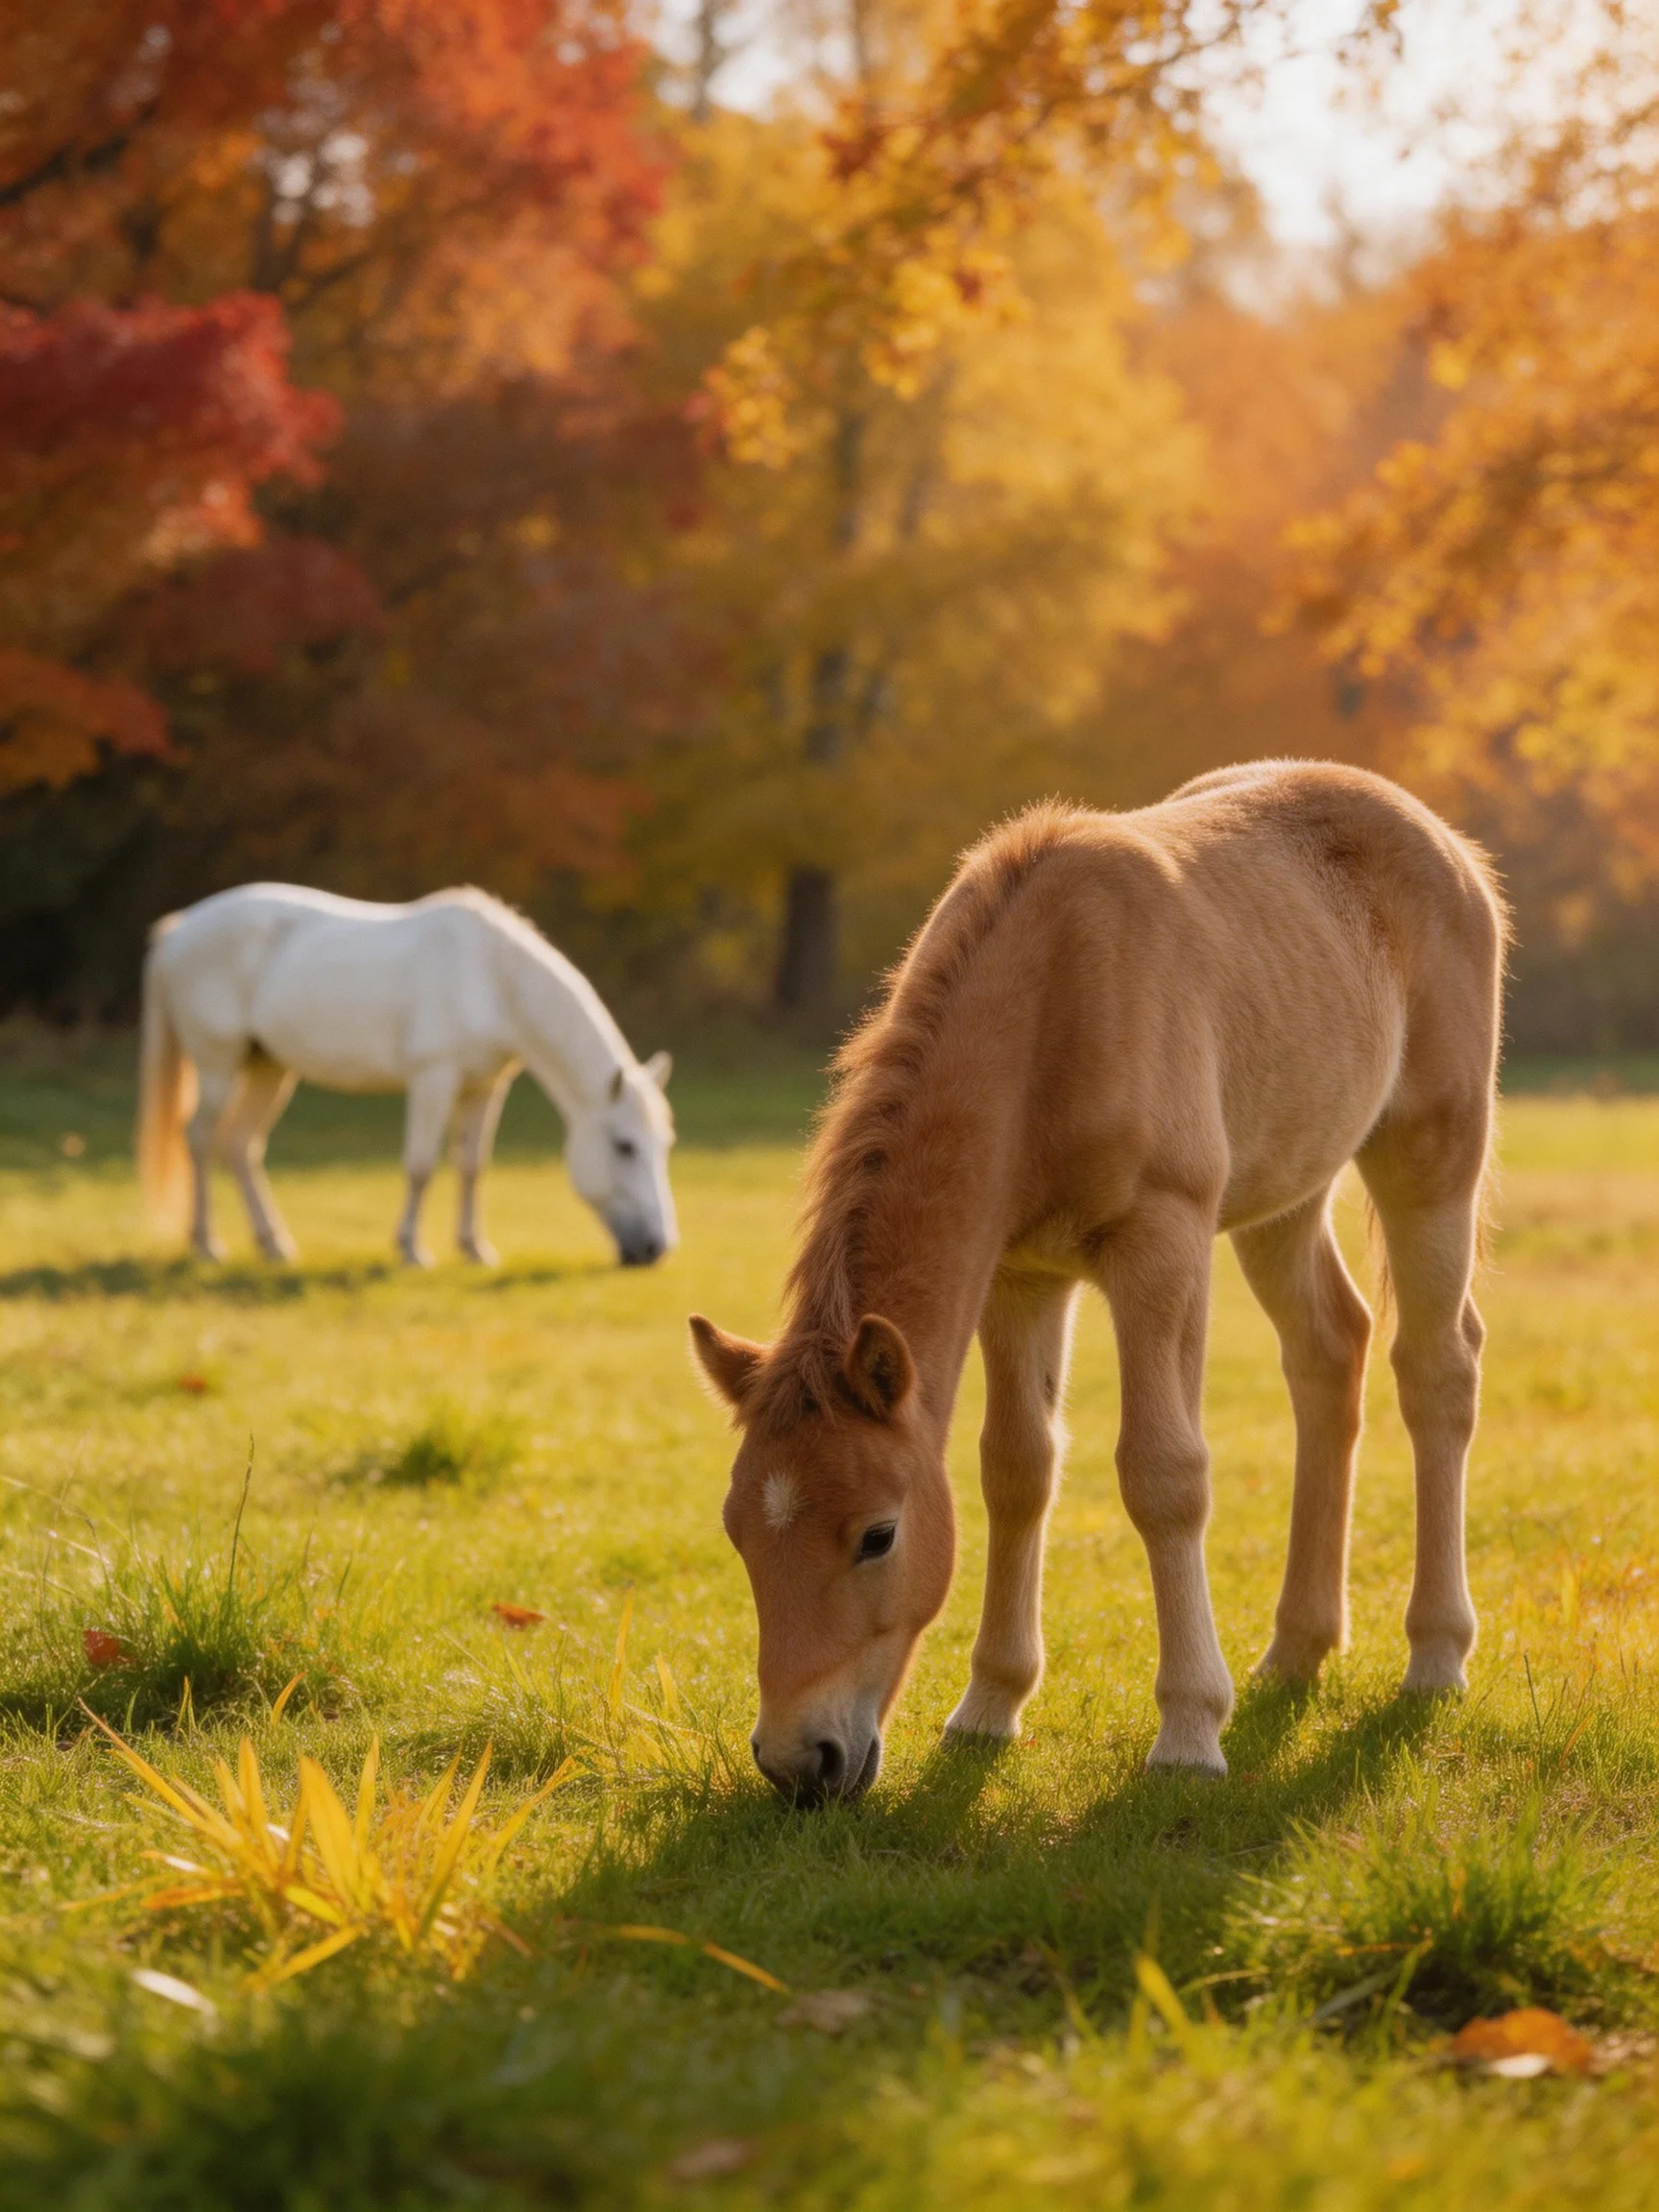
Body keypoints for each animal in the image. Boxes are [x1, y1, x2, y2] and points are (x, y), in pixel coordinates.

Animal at [136, 884, 677, 1269]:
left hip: (269, 1067)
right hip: (218, 1064)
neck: (492, 979)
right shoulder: (434, 1077)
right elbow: (420, 1165)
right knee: (201, 1139)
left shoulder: (484, 1087)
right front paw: (412, 1250)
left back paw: (274, 1245)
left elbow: (472, 1166)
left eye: (666, 1145)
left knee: (241, 1146)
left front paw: (474, 1249)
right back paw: (207, 1244)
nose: (657, 1248)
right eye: (625, 1146)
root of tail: (179, 928)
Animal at [691, 761, 1504, 1804]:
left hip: (1429, 1157)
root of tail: (1446, 843)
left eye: (877, 1534)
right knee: (1332, 1355)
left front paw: (1190, 1730)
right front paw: (988, 1707)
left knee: (1438, 1369)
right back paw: (1296, 1651)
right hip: (1285, 1194)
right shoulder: (1021, 1275)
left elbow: (1164, 1475)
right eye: (739, 1533)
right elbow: (1015, 1468)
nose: (801, 1764)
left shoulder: (1161, 1244)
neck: (1053, 1005)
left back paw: (1436, 1654)